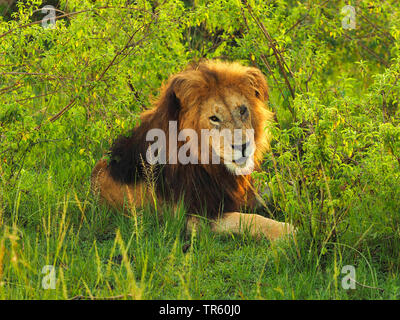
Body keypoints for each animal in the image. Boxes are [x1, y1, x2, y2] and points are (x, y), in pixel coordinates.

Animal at [92, 59, 296, 240]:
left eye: (242, 110)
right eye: (214, 118)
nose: (243, 146)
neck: (213, 168)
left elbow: (277, 188)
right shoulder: (195, 218)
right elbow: (250, 219)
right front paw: (289, 232)